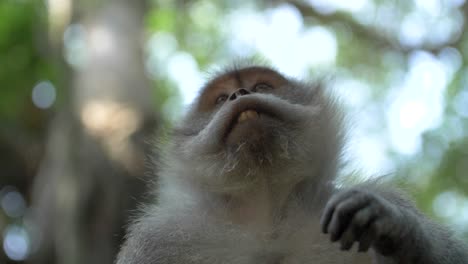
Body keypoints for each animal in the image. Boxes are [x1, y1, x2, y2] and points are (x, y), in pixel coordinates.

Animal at [116, 65, 468, 262]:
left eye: (261, 87)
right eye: (221, 99)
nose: (240, 93)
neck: (270, 219)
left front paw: (393, 227)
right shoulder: (159, 242)